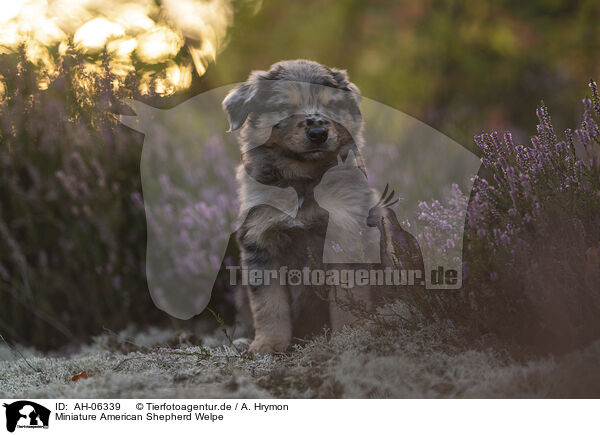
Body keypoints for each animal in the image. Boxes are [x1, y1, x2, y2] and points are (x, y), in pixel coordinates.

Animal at [223, 60, 382, 354]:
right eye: (286, 106)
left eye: (330, 105)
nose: (318, 132)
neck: (304, 180)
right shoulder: (261, 245)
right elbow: (268, 304)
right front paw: (268, 344)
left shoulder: (344, 237)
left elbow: (348, 296)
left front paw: (350, 335)